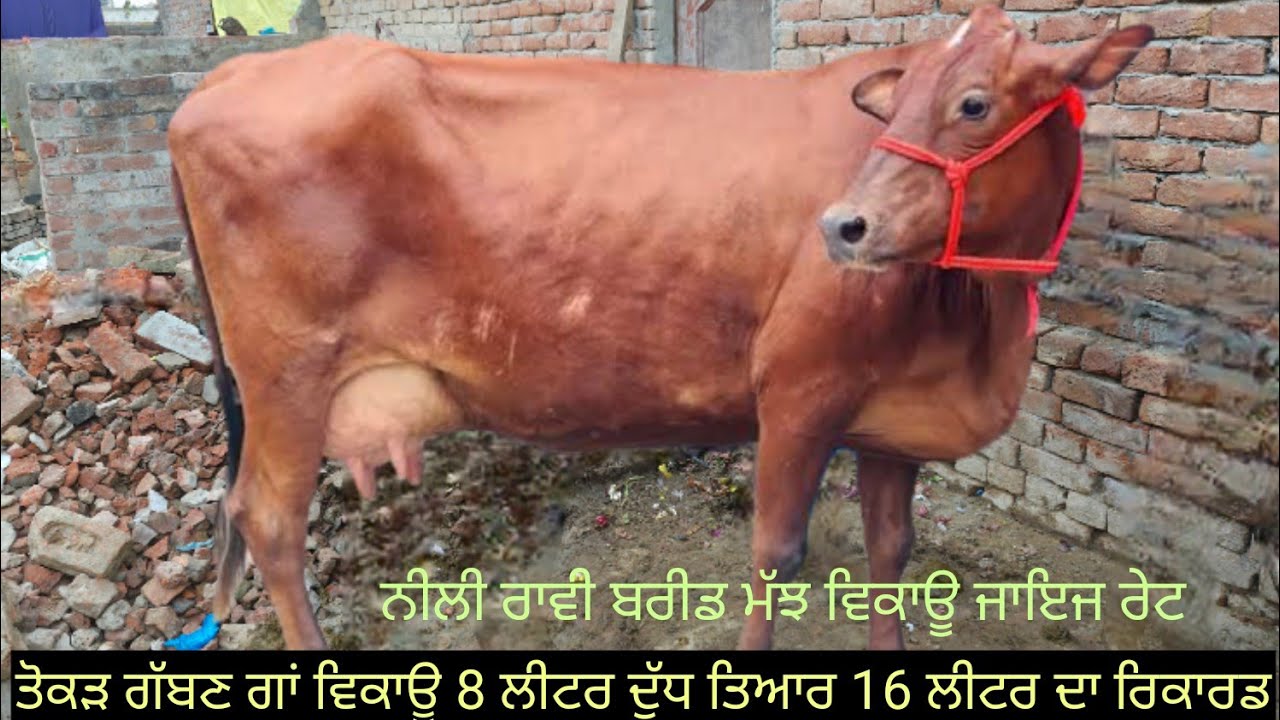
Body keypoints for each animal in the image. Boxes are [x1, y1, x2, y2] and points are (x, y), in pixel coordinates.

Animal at [167, 4, 1153, 650]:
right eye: (896, 99)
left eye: (974, 102)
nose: (843, 227)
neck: (980, 329)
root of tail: (230, 72)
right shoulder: (799, 389)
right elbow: (775, 553)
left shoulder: (892, 419)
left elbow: (889, 554)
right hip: (285, 376)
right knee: (269, 522)